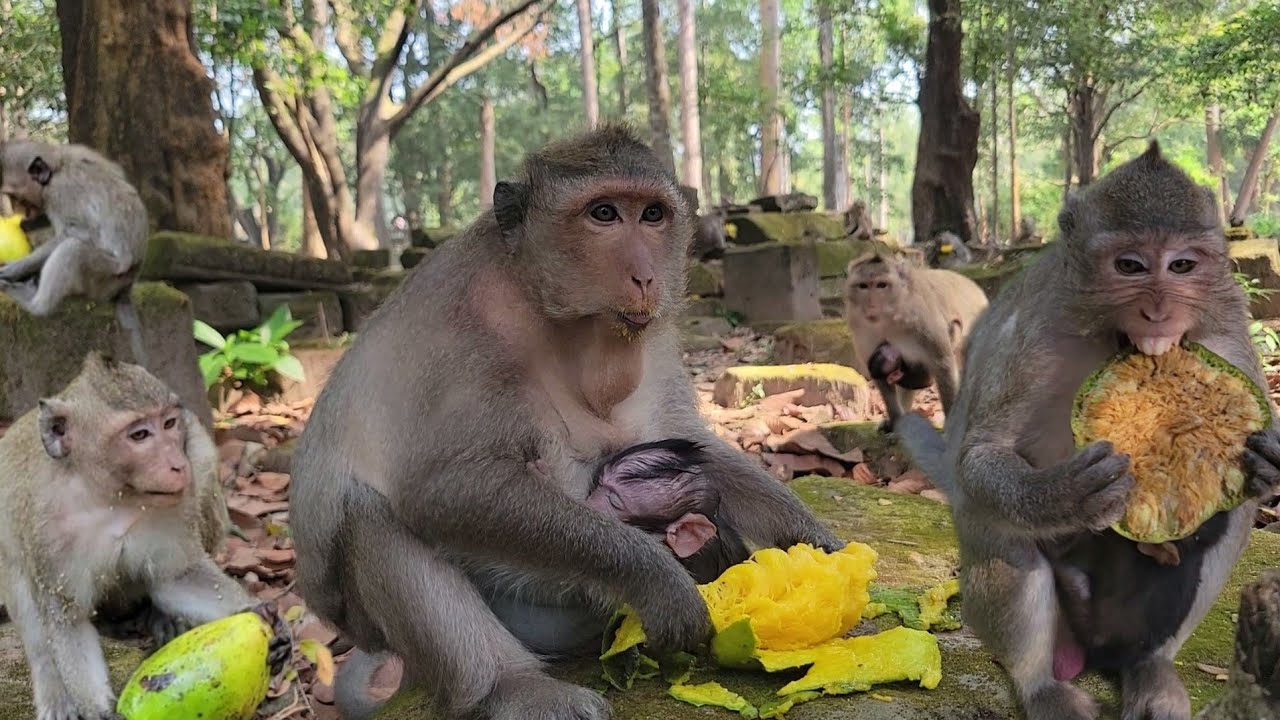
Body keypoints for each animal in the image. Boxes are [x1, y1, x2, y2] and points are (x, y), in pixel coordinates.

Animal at [0, 352, 254, 720]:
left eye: (169, 424)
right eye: (140, 435)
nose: (178, 464)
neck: (110, 497)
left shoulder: (176, 504)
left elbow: (176, 575)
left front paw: (258, 612)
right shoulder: (47, 535)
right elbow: (67, 617)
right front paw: (95, 706)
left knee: (204, 463)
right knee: (20, 581)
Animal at [289, 123, 843, 720]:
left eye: (652, 214)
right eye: (603, 213)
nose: (645, 276)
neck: (549, 310)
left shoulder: (657, 335)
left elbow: (688, 443)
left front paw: (815, 543)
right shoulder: (469, 334)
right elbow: (445, 489)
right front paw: (655, 577)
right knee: (368, 518)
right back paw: (508, 686)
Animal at [843, 251, 988, 431]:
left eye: (881, 285)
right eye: (863, 286)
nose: (871, 305)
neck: (891, 316)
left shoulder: (922, 320)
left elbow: (943, 363)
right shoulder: (860, 327)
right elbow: (879, 375)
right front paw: (895, 420)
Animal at [893, 141, 1280, 720]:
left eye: (1182, 265)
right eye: (1130, 266)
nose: (1158, 310)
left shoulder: (1226, 323)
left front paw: (1271, 458)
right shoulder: (1037, 328)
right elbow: (980, 455)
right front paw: (1064, 495)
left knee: (1233, 520)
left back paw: (1148, 665)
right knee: (1000, 529)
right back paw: (1040, 686)